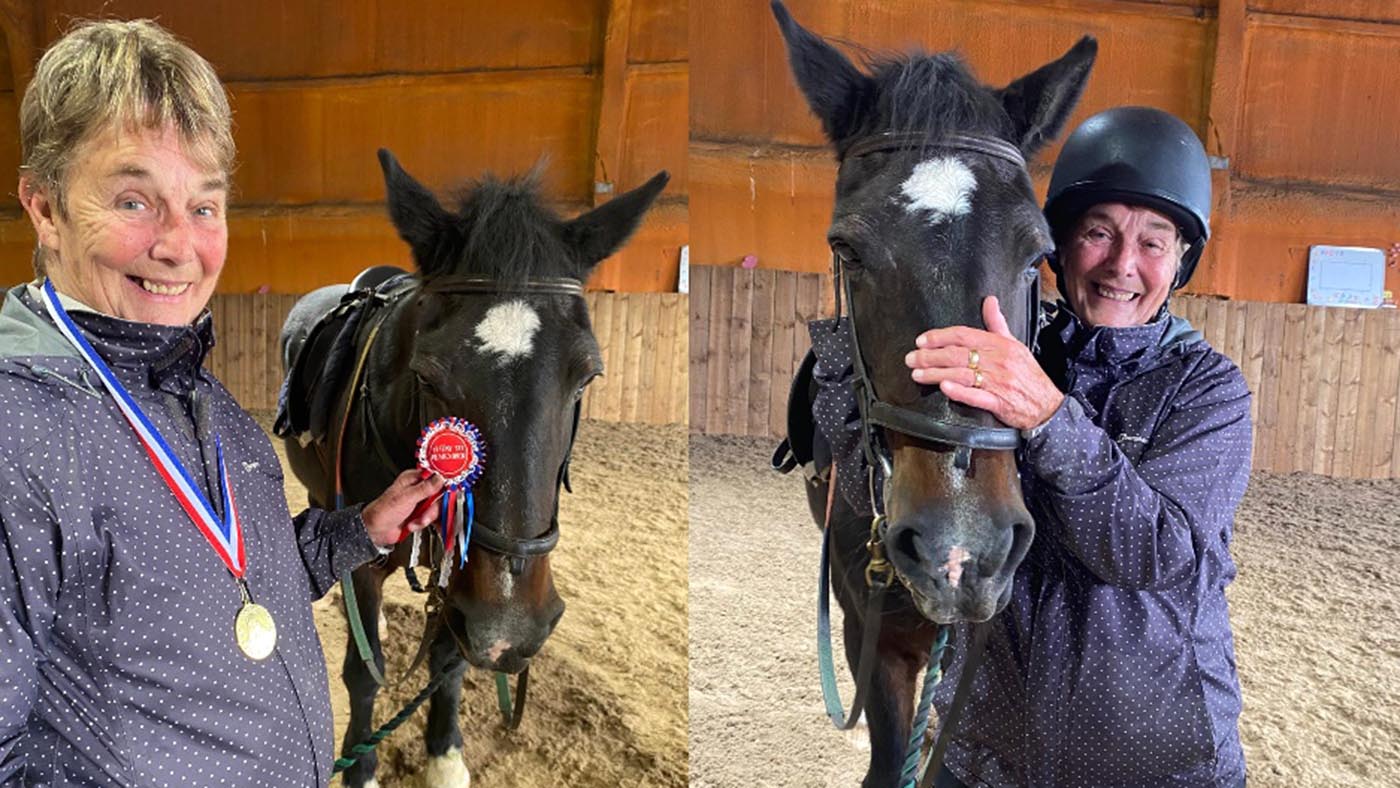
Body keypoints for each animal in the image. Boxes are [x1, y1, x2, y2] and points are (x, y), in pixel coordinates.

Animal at [277, 149, 668, 788]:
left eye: (587, 376)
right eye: (428, 376)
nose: (509, 632)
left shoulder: (460, 579)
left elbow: (449, 659)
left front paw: (444, 755)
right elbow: (364, 669)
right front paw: (362, 767)